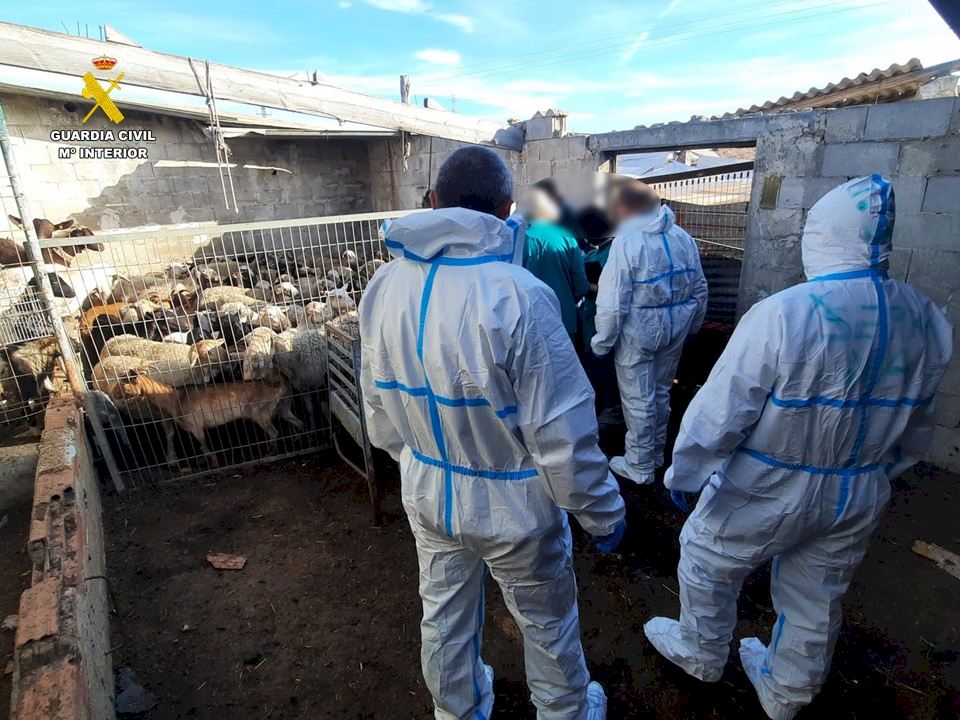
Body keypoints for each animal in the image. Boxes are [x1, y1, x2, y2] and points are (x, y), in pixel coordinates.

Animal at [116, 370, 301, 466]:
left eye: (124, 385)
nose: (115, 396)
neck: (175, 398)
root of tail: (278, 384)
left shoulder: (196, 426)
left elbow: (203, 445)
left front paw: (213, 462)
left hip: (260, 413)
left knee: (274, 432)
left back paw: (270, 453)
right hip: (284, 407)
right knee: (297, 421)